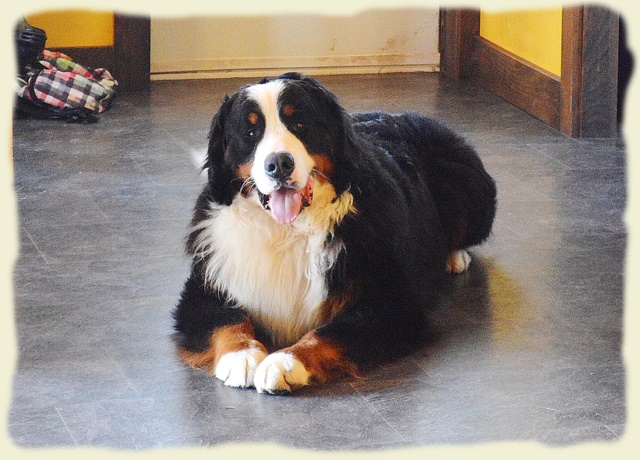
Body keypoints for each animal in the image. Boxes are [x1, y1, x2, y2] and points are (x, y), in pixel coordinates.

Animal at [172, 73, 498, 396]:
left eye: (299, 124)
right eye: (251, 132)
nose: (279, 164)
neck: (287, 231)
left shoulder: (392, 302)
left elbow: (330, 333)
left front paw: (285, 362)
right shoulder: (206, 284)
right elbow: (226, 320)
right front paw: (242, 355)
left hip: (468, 186)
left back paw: (453, 257)